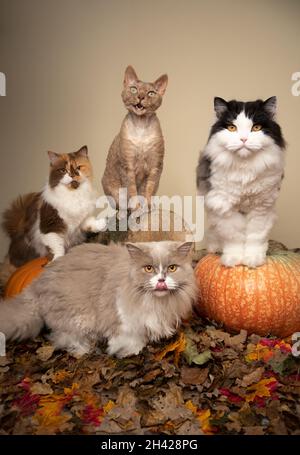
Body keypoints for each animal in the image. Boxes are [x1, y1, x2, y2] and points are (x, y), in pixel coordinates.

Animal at [0, 242, 198, 360]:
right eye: (148, 269)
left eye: (172, 268)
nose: (161, 280)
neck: (155, 302)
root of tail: (38, 283)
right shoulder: (123, 319)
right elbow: (129, 338)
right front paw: (128, 351)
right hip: (78, 318)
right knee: (63, 338)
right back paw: (84, 349)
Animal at [102, 66, 169, 210]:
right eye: (134, 89)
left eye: (151, 93)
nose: (140, 96)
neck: (141, 126)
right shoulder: (127, 165)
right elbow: (131, 189)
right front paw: (136, 206)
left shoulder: (155, 165)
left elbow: (148, 189)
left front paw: (147, 206)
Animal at [197, 96, 286, 268]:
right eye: (232, 128)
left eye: (256, 128)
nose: (243, 139)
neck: (245, 167)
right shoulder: (224, 207)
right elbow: (234, 237)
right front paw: (233, 259)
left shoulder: (261, 208)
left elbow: (255, 237)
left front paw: (253, 259)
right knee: (214, 235)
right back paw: (216, 248)